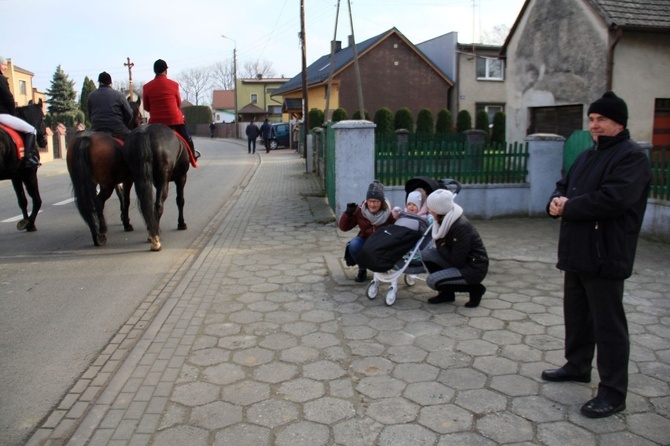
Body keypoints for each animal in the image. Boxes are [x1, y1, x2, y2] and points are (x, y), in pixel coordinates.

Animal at [0, 100, 47, 232]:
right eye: (44, 118)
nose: (44, 141)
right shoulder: (29, 173)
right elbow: (36, 199)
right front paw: (29, 223)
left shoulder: (15, 176)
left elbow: (22, 200)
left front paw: (27, 221)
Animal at [66, 98, 142, 247]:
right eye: (140, 116)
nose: (141, 124)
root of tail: (85, 139)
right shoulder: (128, 179)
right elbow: (126, 199)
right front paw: (126, 223)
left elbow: (121, 196)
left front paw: (123, 218)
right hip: (107, 185)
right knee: (98, 201)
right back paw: (102, 231)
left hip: (87, 182)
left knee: (88, 204)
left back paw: (96, 234)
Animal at [122, 123, 190, 253]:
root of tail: (145, 132)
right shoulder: (181, 177)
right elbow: (180, 200)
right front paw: (181, 223)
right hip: (163, 180)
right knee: (158, 205)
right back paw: (155, 239)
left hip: (133, 177)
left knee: (135, 202)